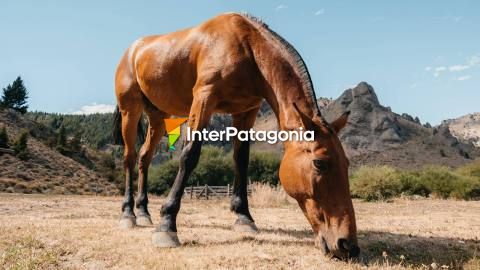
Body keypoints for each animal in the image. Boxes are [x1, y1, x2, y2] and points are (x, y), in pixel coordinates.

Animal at [114, 13, 358, 260]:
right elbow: (189, 155)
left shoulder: (245, 111)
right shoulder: (204, 97)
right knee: (129, 158)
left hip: (157, 116)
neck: (247, 48)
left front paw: (244, 218)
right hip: (130, 110)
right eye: (319, 163)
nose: (348, 245)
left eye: (346, 164)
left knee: (144, 157)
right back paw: (128, 214)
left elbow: (241, 160)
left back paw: (143, 211)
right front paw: (167, 224)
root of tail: (133, 50)